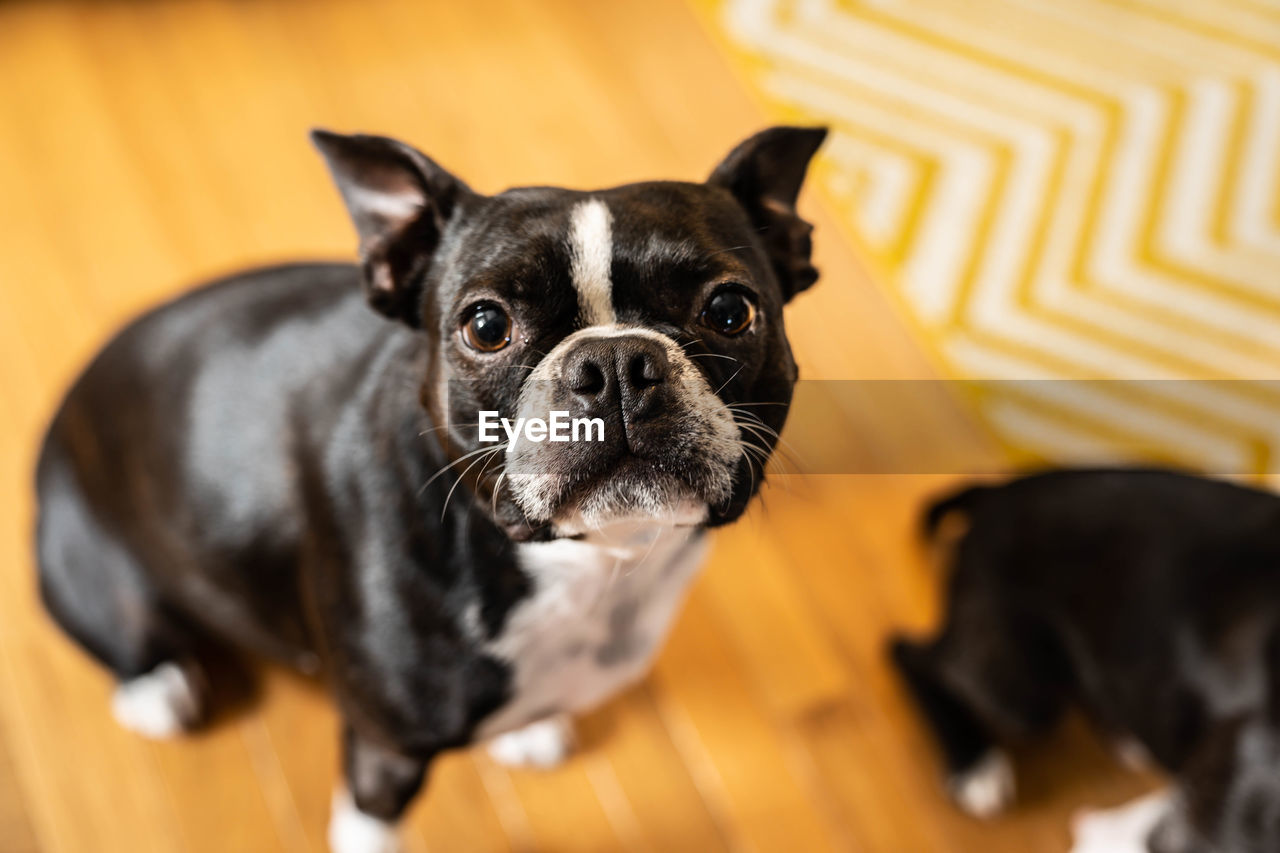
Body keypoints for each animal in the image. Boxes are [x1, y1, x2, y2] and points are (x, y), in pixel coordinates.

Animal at [35, 126, 829, 850]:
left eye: (729, 311)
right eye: (486, 326)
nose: (616, 363)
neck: (587, 565)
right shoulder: (382, 755)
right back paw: (156, 685)